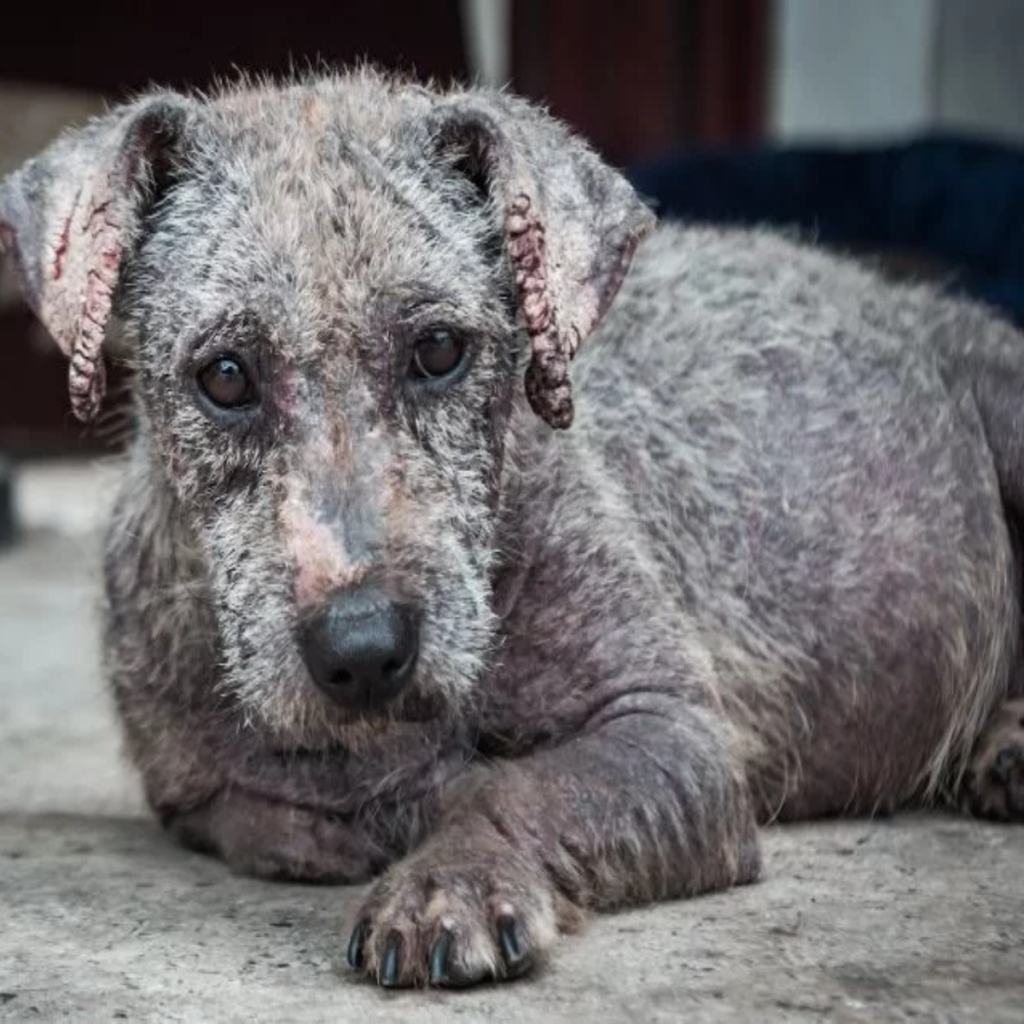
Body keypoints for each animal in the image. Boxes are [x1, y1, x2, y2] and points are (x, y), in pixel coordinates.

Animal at [0, 70, 1019, 983]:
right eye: (224, 375)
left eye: (440, 350)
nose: (363, 648)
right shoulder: (198, 795)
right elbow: (293, 808)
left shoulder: (671, 735)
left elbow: (515, 786)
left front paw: (447, 879)